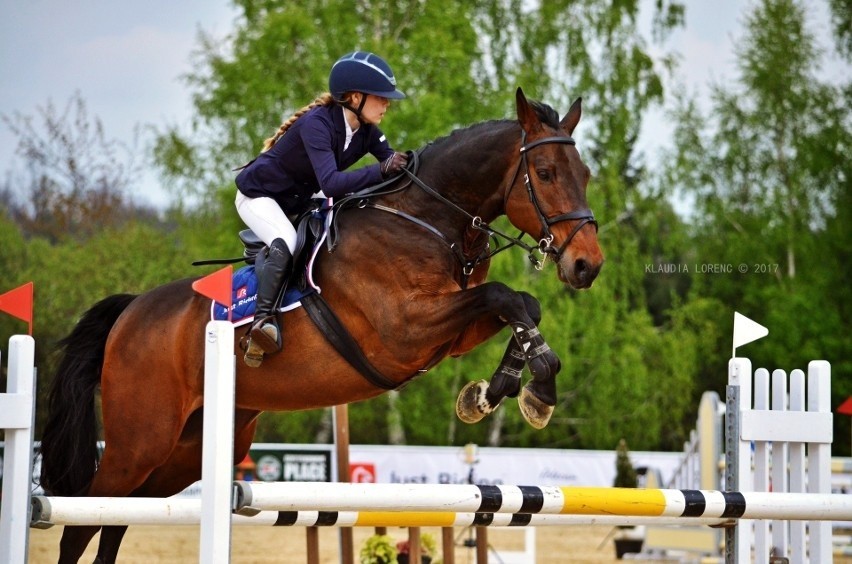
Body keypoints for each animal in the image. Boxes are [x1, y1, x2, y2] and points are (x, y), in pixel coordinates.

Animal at [36, 86, 604, 560]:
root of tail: (130, 313)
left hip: (186, 447)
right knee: (82, 520)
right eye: (546, 173)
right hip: (140, 441)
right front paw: (535, 387)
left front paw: (500, 391)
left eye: (586, 175)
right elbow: (505, 296)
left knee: (120, 519)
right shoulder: (407, 330)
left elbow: (522, 305)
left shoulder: (452, 333)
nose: (588, 266)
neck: (427, 219)